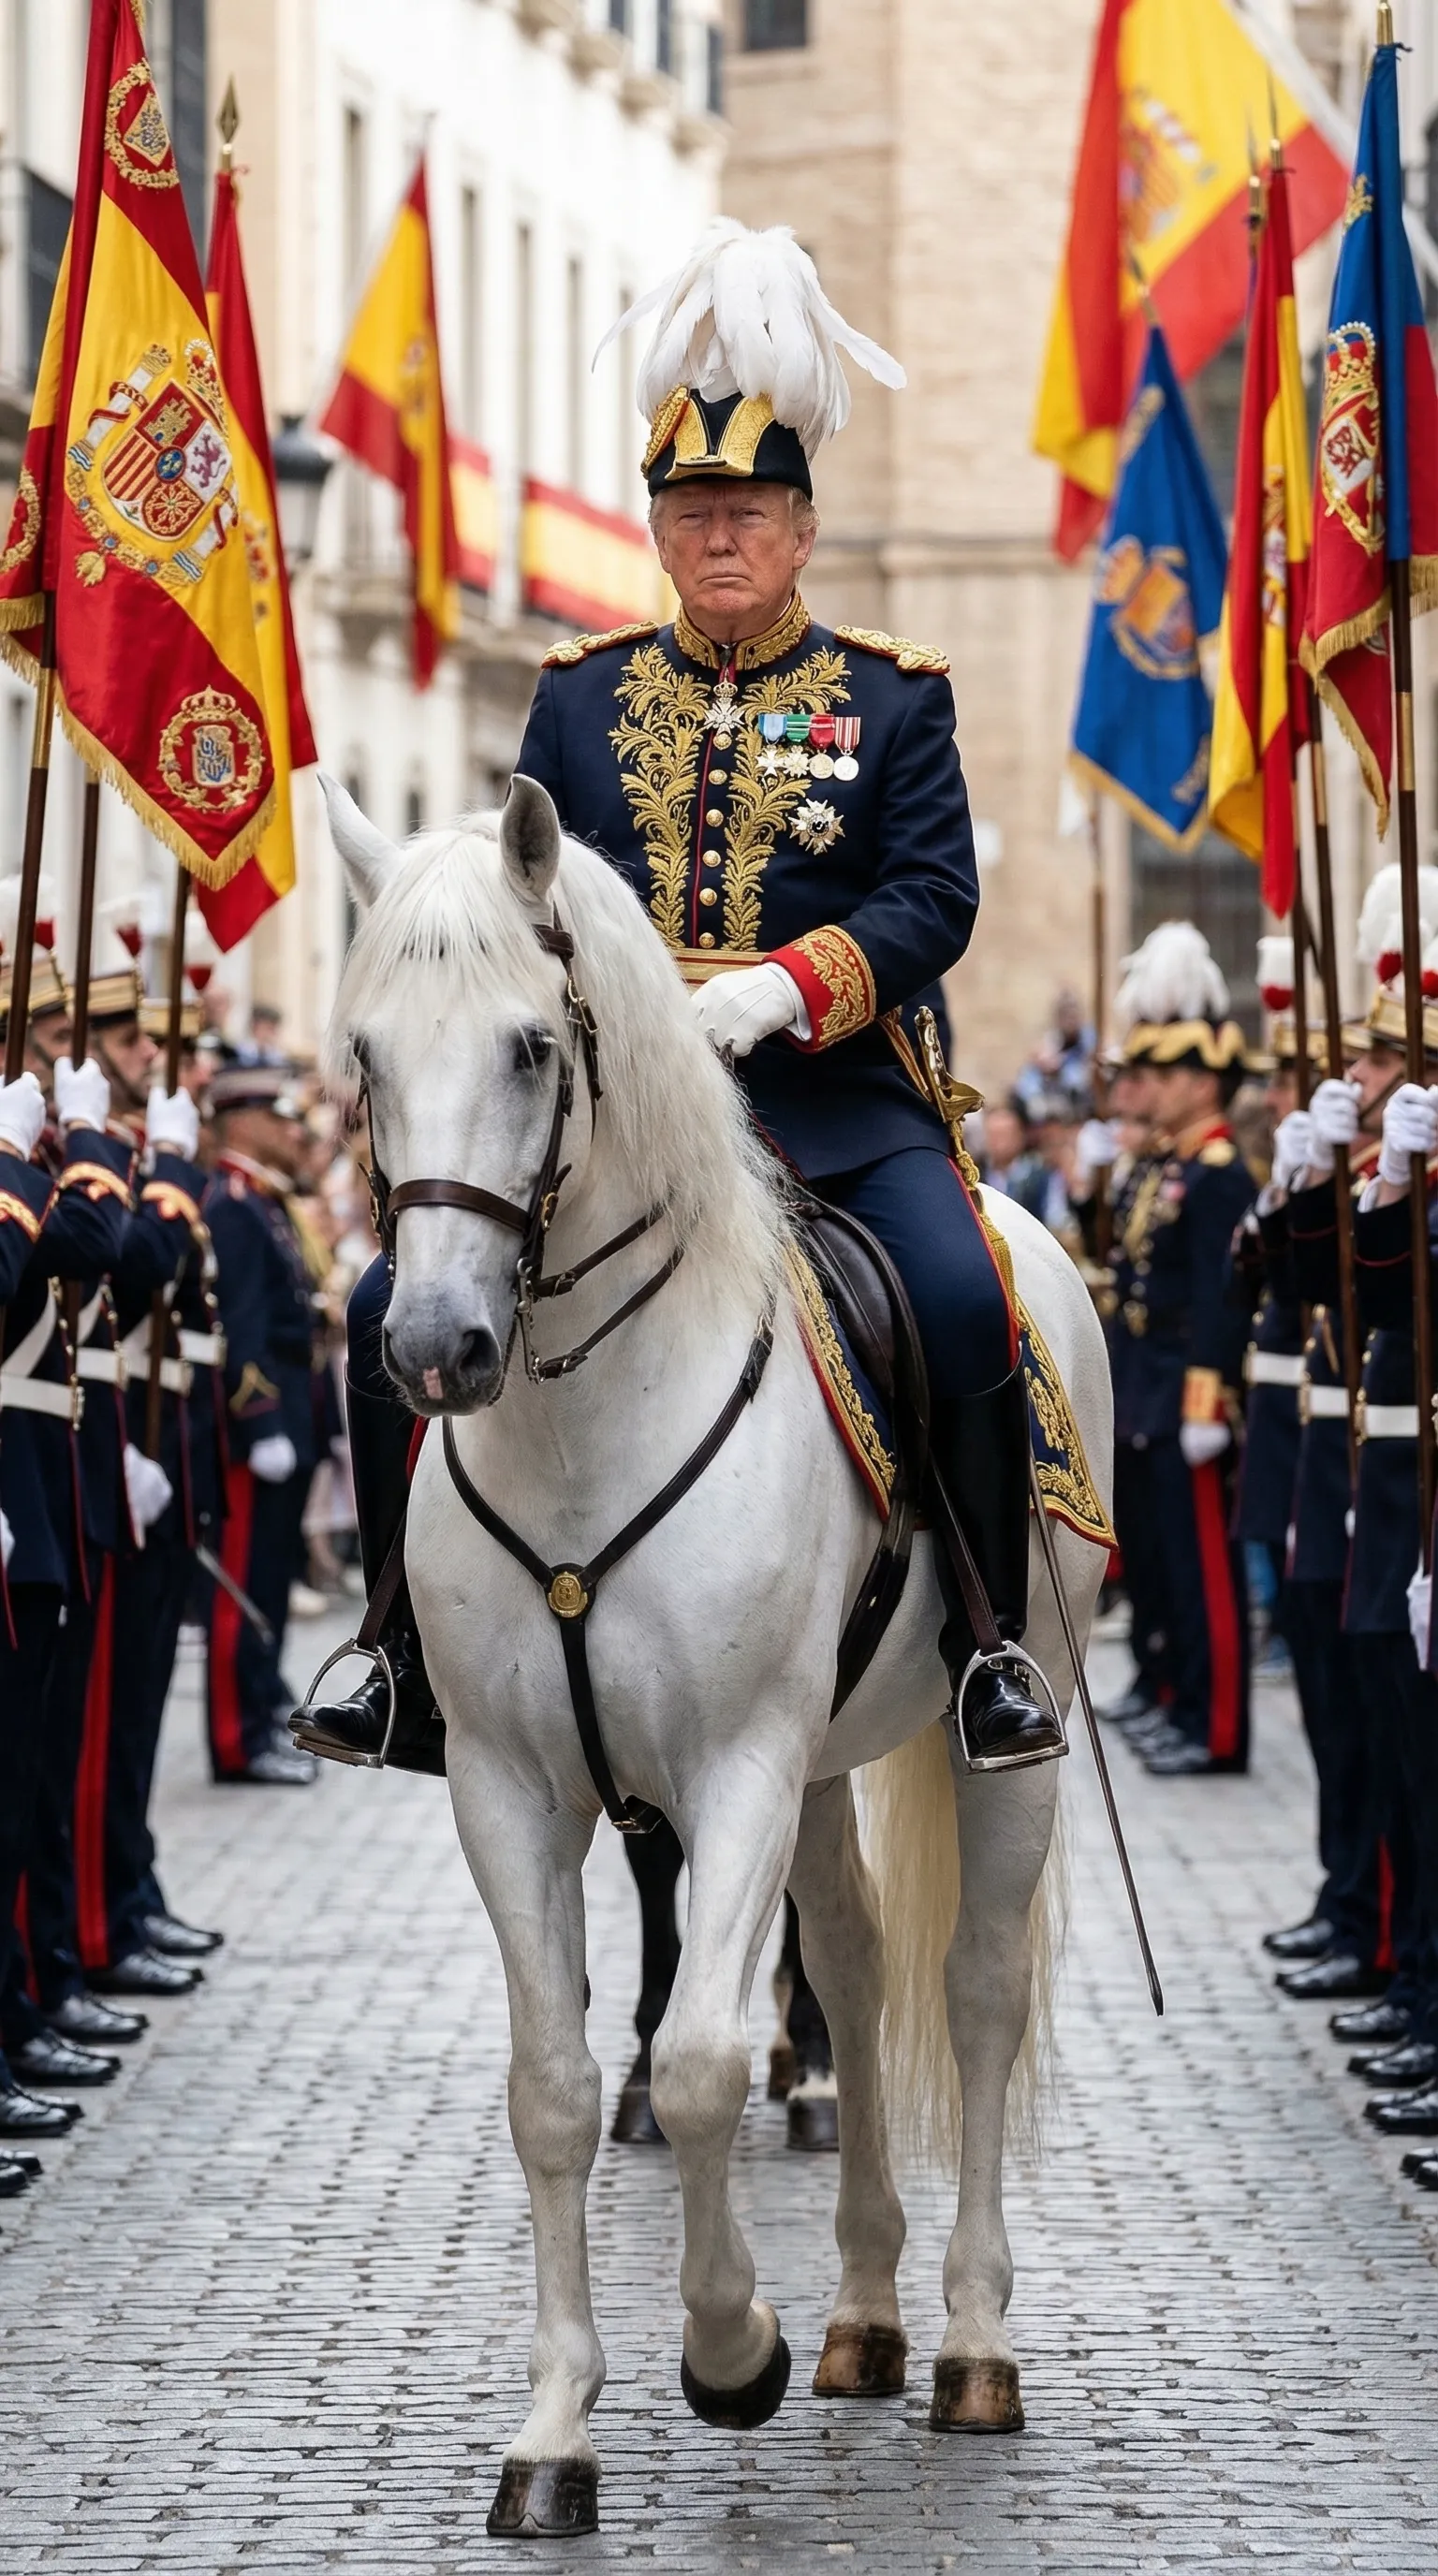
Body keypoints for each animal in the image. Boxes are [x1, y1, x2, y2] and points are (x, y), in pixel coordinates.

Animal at [321, 772, 1113, 2540]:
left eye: (531, 1046)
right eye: (364, 1054)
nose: (436, 1348)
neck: (579, 1419)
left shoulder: (735, 1760)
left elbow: (694, 2064)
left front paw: (732, 2349)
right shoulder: (510, 1787)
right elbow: (552, 2086)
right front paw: (556, 2432)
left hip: (999, 1722)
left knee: (968, 1992)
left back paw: (968, 2343)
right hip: (818, 1763)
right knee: (859, 1960)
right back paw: (867, 2316)